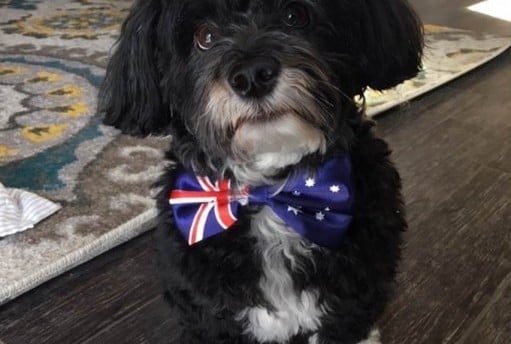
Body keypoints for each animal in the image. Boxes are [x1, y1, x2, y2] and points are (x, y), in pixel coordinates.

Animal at [99, 1, 424, 342]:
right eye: (204, 36)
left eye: (296, 16)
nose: (252, 76)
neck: (270, 193)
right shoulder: (211, 315)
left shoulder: (353, 296)